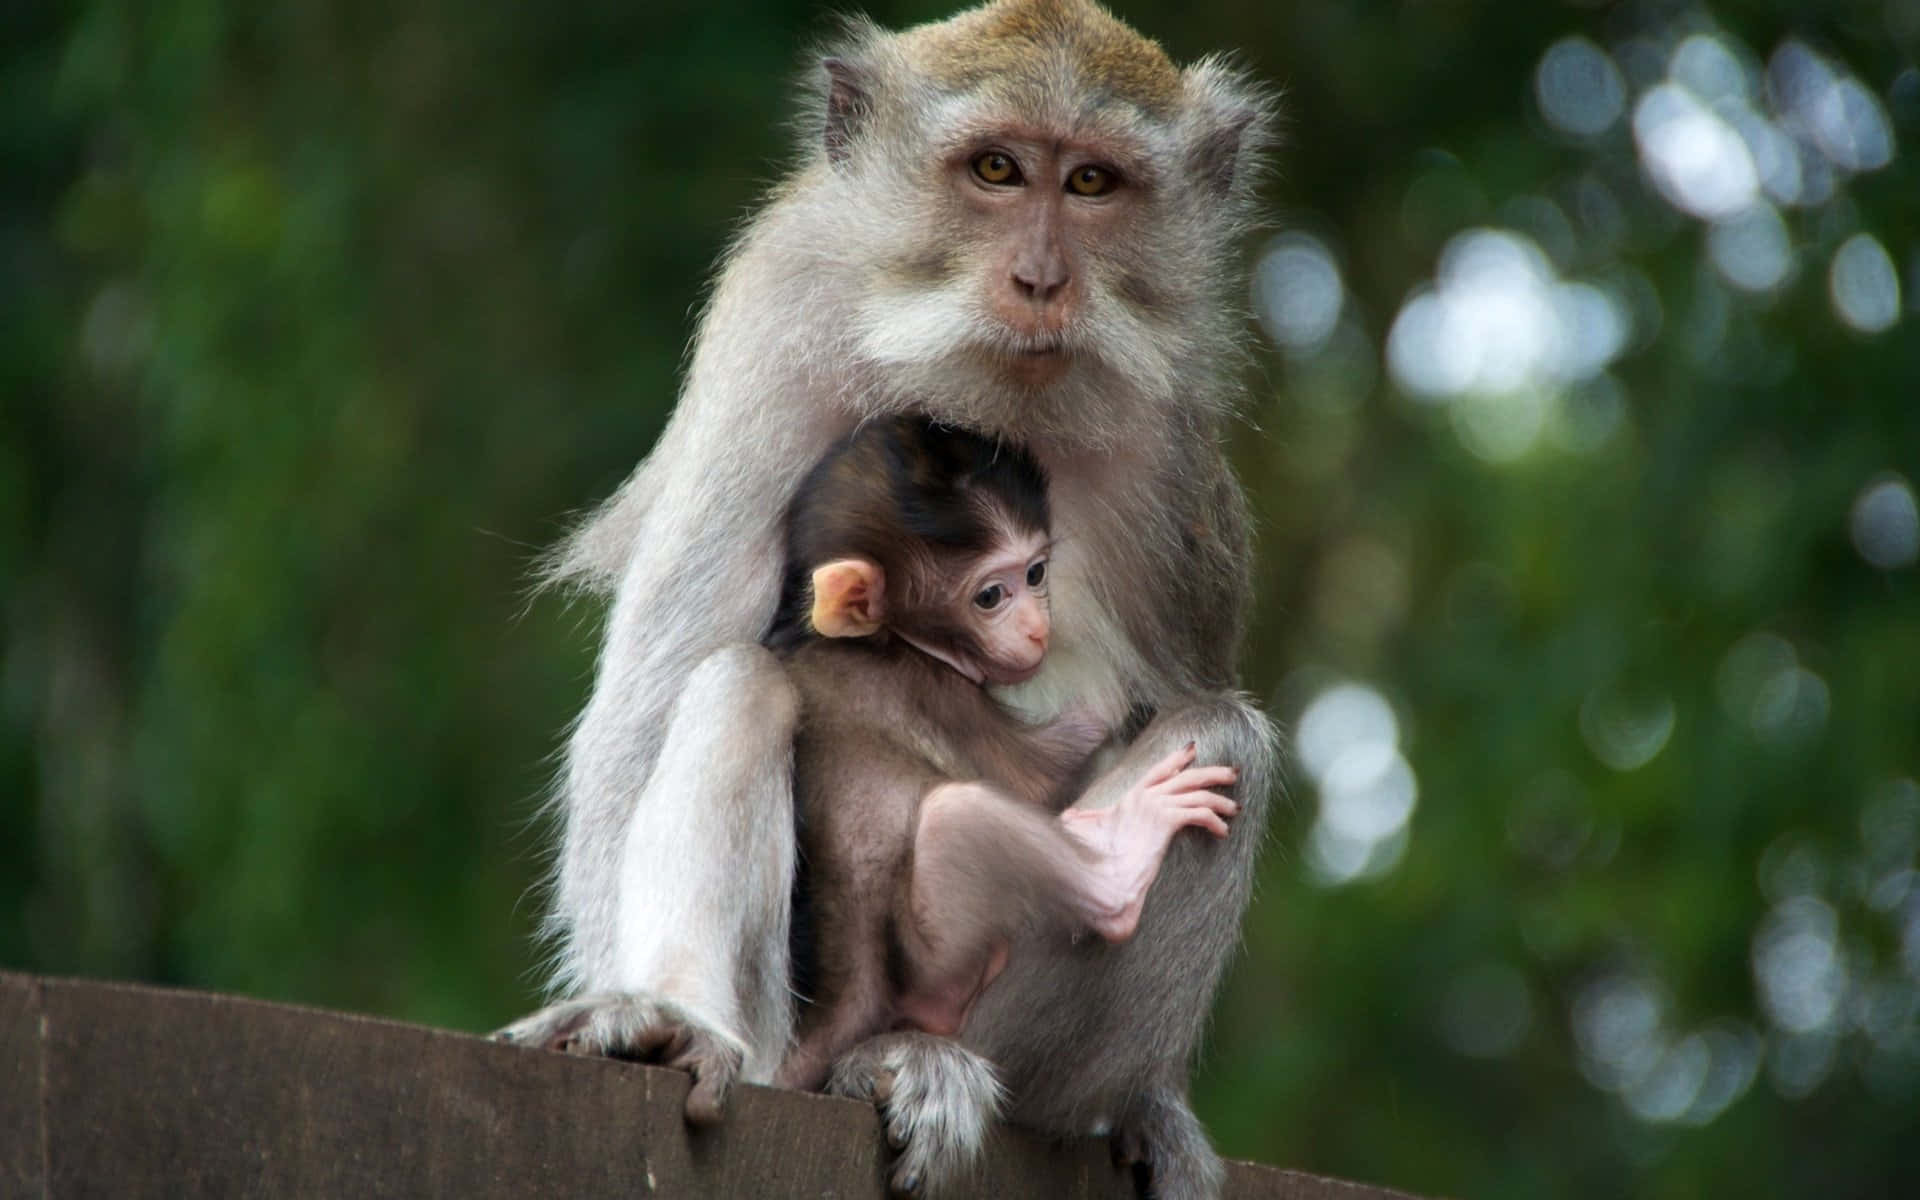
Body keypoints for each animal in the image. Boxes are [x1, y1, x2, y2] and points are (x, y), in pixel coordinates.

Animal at [756, 418, 1236, 1098]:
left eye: (1035, 574)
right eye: (990, 596)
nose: (1037, 628)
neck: (886, 639)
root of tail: (847, 1000)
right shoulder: (939, 693)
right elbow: (1035, 774)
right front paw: (1115, 700)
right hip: (935, 966)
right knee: (959, 815)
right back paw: (1119, 860)